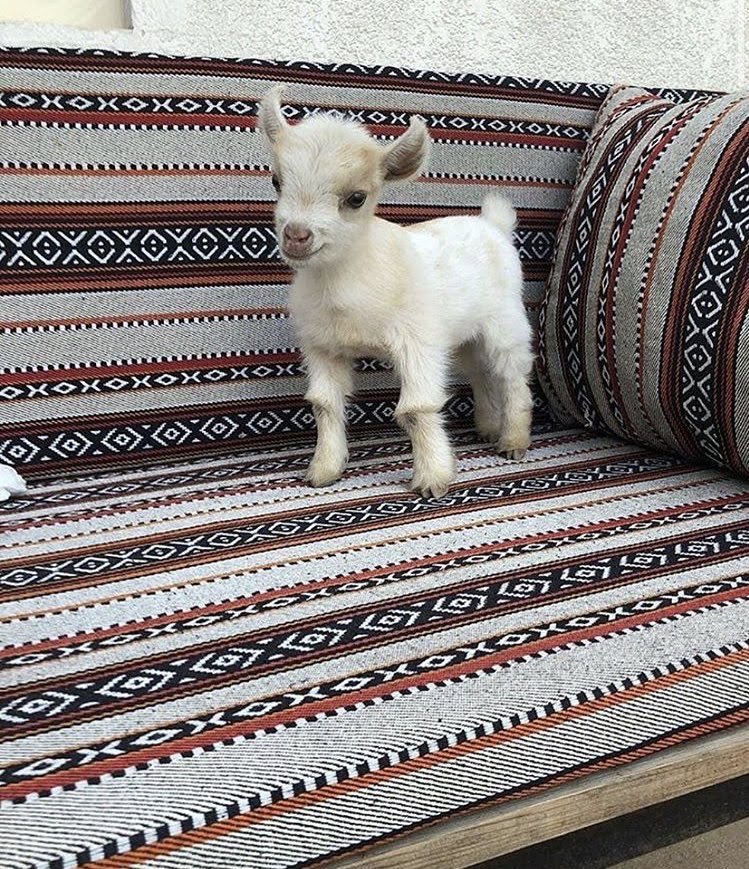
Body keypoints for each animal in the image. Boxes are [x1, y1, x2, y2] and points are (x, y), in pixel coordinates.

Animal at [259, 86, 533, 498]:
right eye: (276, 181)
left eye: (356, 198)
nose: (296, 236)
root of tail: (493, 224)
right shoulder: (322, 346)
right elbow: (324, 404)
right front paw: (323, 469)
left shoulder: (416, 341)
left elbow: (417, 409)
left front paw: (433, 478)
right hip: (463, 336)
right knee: (478, 371)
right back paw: (487, 426)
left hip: (505, 320)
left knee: (511, 372)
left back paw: (514, 440)